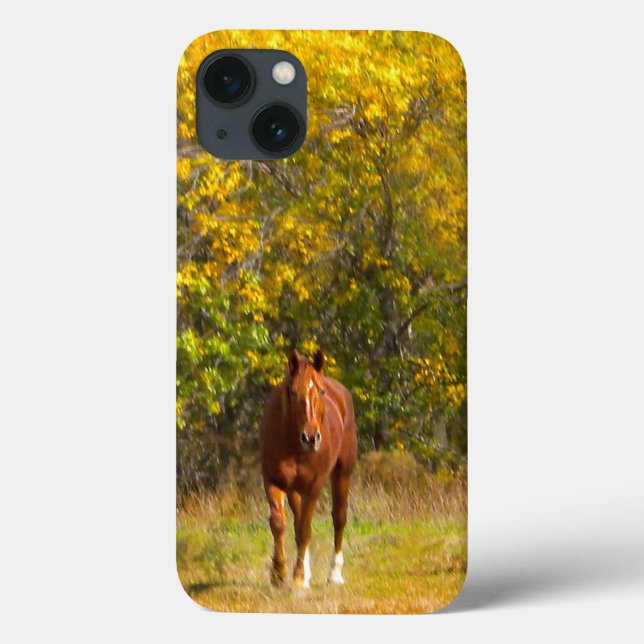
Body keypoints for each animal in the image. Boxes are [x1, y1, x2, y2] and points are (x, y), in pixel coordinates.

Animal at [259, 349, 357, 590]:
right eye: (292, 391)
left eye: (321, 391)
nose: (311, 438)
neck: (292, 443)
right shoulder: (273, 480)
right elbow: (279, 523)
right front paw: (279, 573)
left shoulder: (314, 484)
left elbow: (304, 530)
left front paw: (297, 579)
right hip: (295, 488)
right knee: (297, 520)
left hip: (342, 471)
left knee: (338, 517)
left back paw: (334, 574)